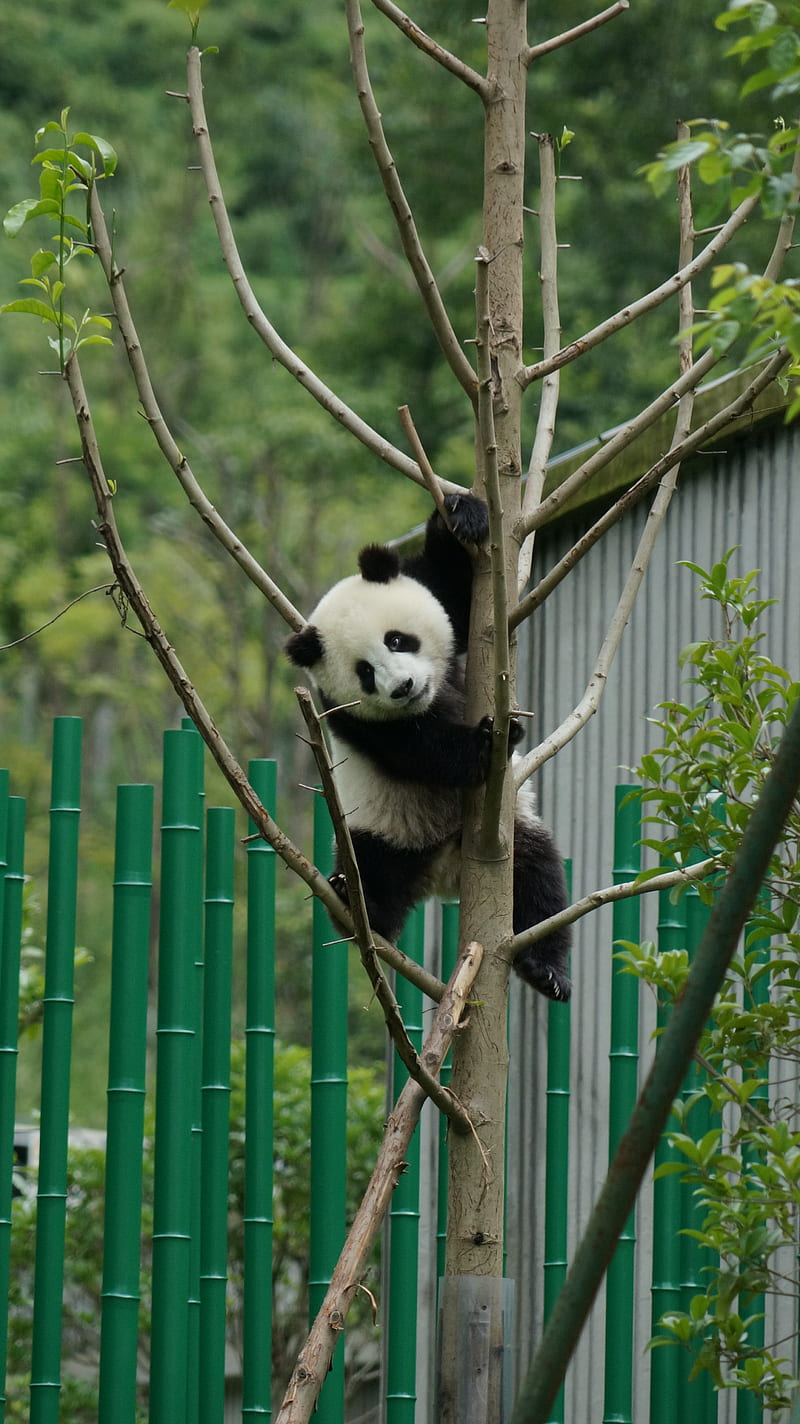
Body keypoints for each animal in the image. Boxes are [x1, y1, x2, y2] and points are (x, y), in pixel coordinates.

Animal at [283, 489, 569, 1002]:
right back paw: (358, 904)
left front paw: (460, 515)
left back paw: (547, 970)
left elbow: (454, 590)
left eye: (398, 640)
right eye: (365, 672)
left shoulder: (440, 599)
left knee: (538, 880)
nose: (402, 688)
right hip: (380, 831)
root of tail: (442, 875)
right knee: (370, 869)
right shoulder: (351, 715)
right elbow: (420, 750)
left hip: (512, 829)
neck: (434, 696)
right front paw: (487, 741)